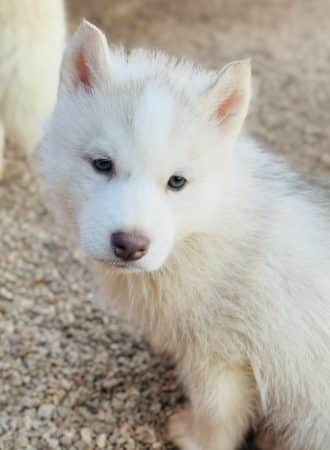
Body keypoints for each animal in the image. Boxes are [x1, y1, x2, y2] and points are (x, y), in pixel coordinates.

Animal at [40, 22, 330, 450]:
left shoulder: (221, 358)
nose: (129, 245)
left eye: (177, 181)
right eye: (102, 165)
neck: (205, 231)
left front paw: (192, 437)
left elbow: (215, 413)